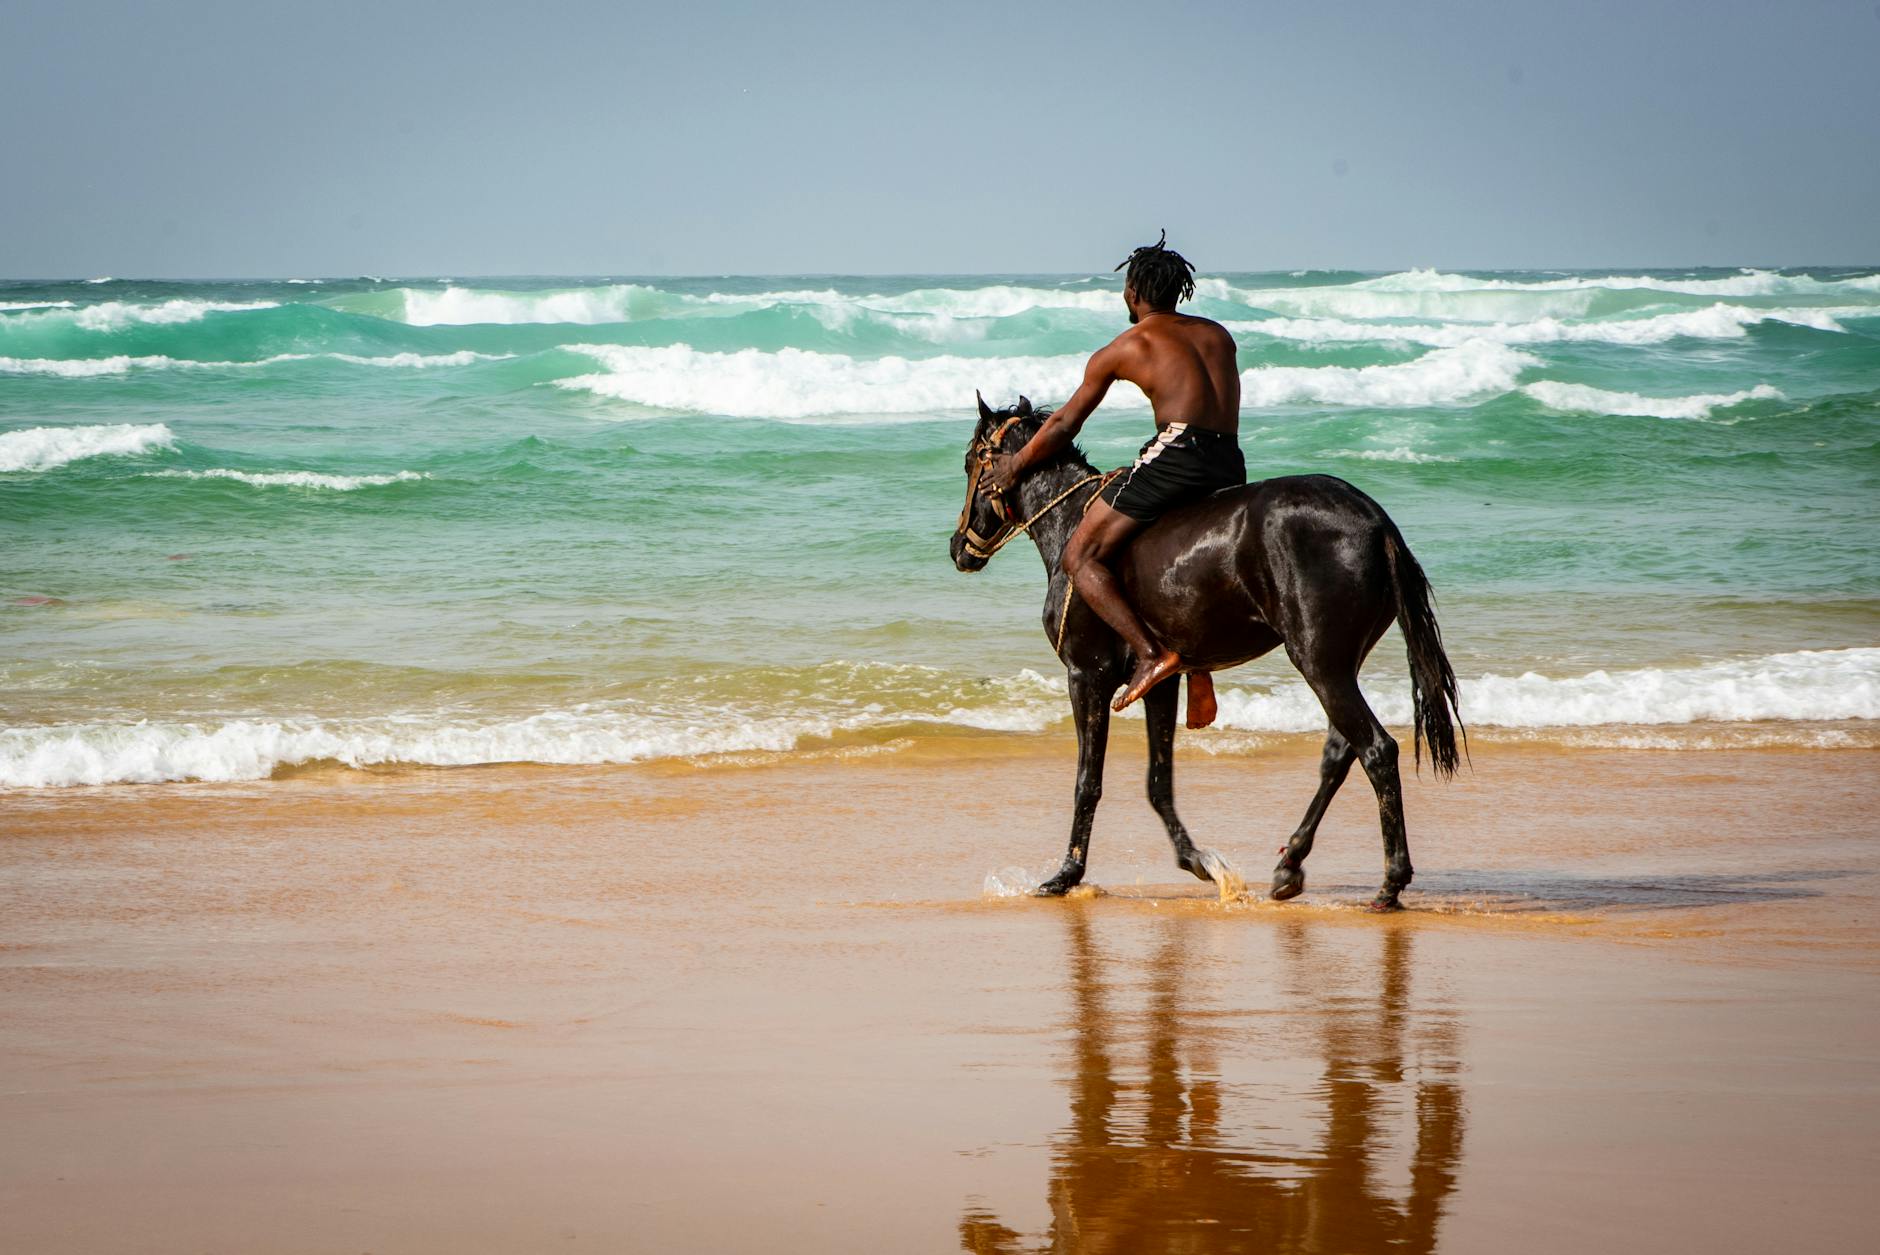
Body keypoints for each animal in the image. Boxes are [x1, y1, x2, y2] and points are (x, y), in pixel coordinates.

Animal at [948, 395, 1464, 910]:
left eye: (972, 460)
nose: (957, 547)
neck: (1070, 521)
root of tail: (1375, 520)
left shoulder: (1086, 675)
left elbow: (1087, 782)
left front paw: (1067, 874)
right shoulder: (1160, 682)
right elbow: (1158, 782)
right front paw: (1198, 862)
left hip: (1318, 661)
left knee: (1376, 750)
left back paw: (1391, 881)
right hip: (1339, 663)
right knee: (1341, 752)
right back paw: (1291, 863)